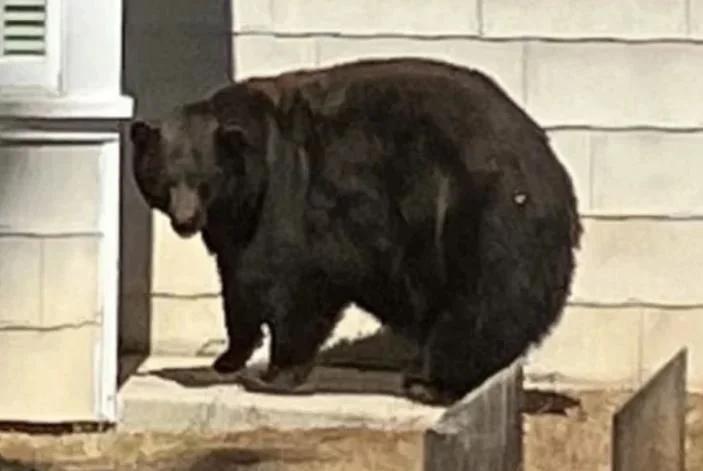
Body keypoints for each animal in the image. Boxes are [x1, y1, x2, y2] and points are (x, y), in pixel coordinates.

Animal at [129, 57, 582, 405]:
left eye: (204, 179)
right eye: (164, 179)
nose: (185, 221)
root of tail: (553, 172)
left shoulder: (297, 198)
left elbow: (296, 282)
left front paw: (273, 373)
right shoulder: (236, 226)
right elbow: (239, 284)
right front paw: (228, 357)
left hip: (479, 217)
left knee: (480, 304)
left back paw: (431, 382)